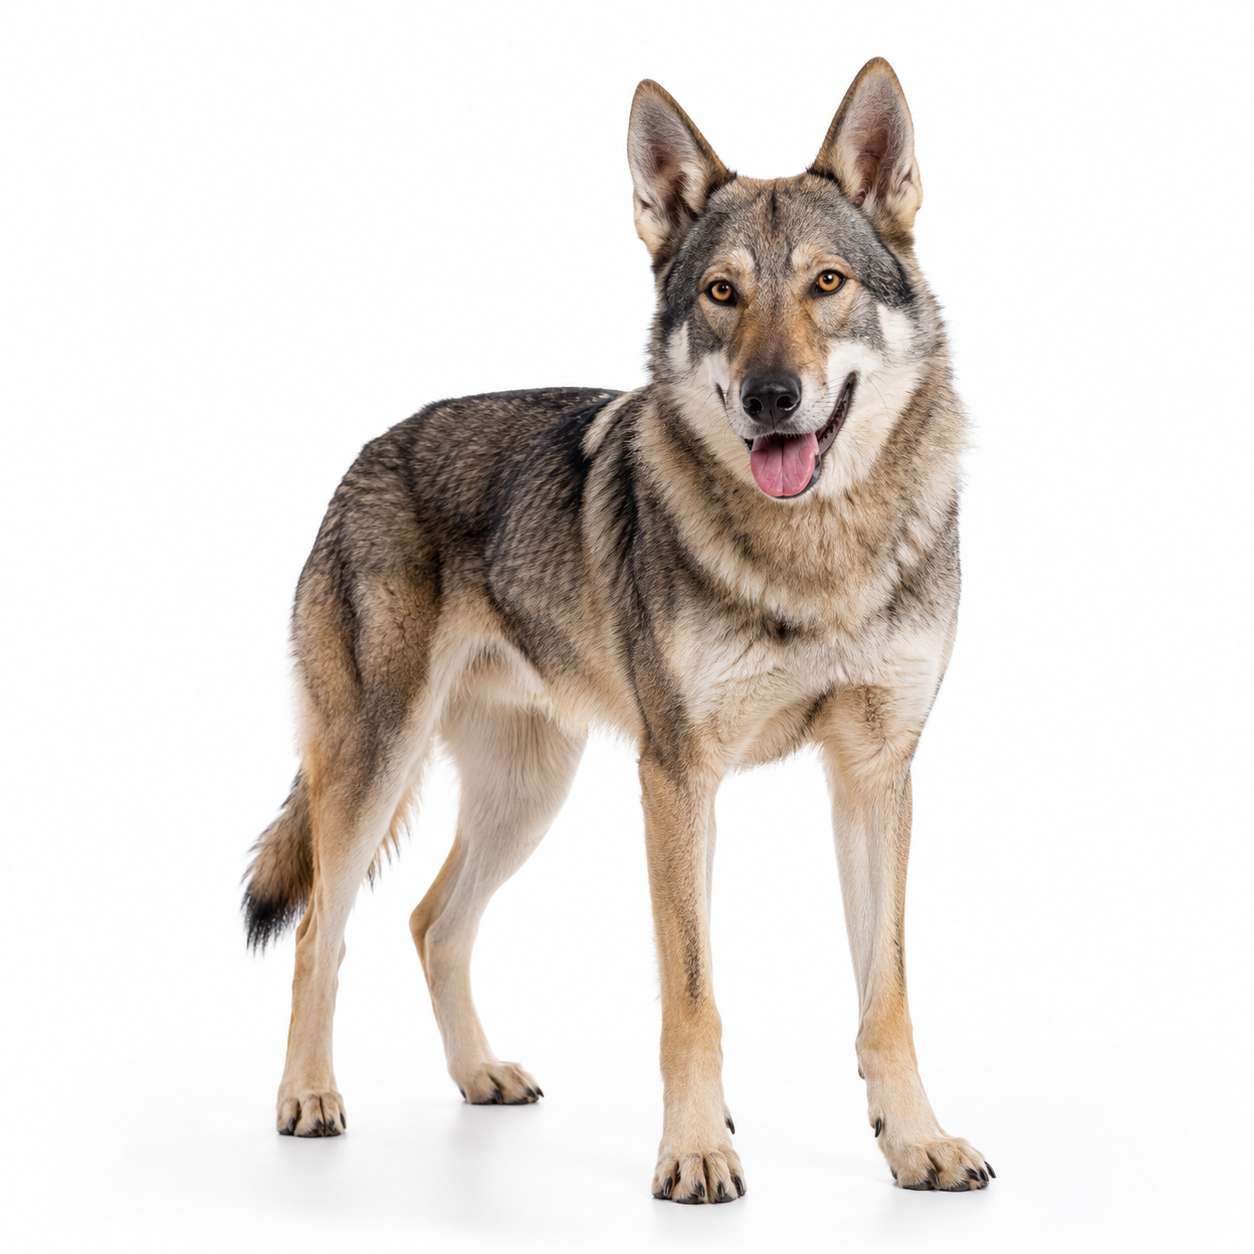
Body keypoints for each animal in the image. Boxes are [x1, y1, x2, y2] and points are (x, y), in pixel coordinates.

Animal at [243, 57, 992, 1202]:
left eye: (827, 284)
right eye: (722, 294)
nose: (772, 398)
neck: (815, 554)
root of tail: (370, 449)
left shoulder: (875, 774)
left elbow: (887, 999)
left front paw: (916, 1143)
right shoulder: (677, 779)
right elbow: (692, 1000)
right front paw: (696, 1152)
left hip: (528, 792)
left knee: (431, 920)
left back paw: (481, 1076)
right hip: (376, 766)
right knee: (324, 926)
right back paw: (308, 1098)